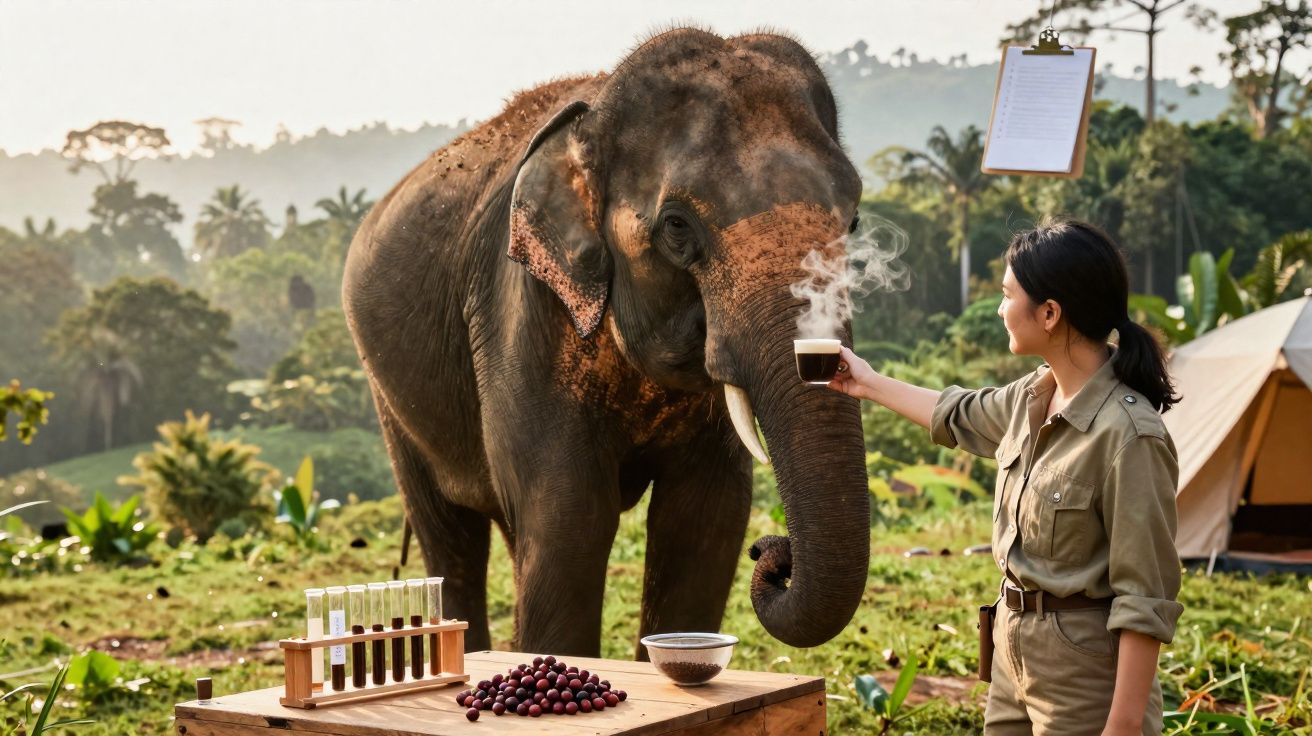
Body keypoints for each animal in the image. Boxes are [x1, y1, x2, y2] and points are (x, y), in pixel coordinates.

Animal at [342, 27, 869, 658]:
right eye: (677, 225)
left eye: (853, 220)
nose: (773, 553)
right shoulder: (524, 312)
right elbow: (567, 519)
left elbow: (707, 520)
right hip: (392, 399)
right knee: (452, 539)